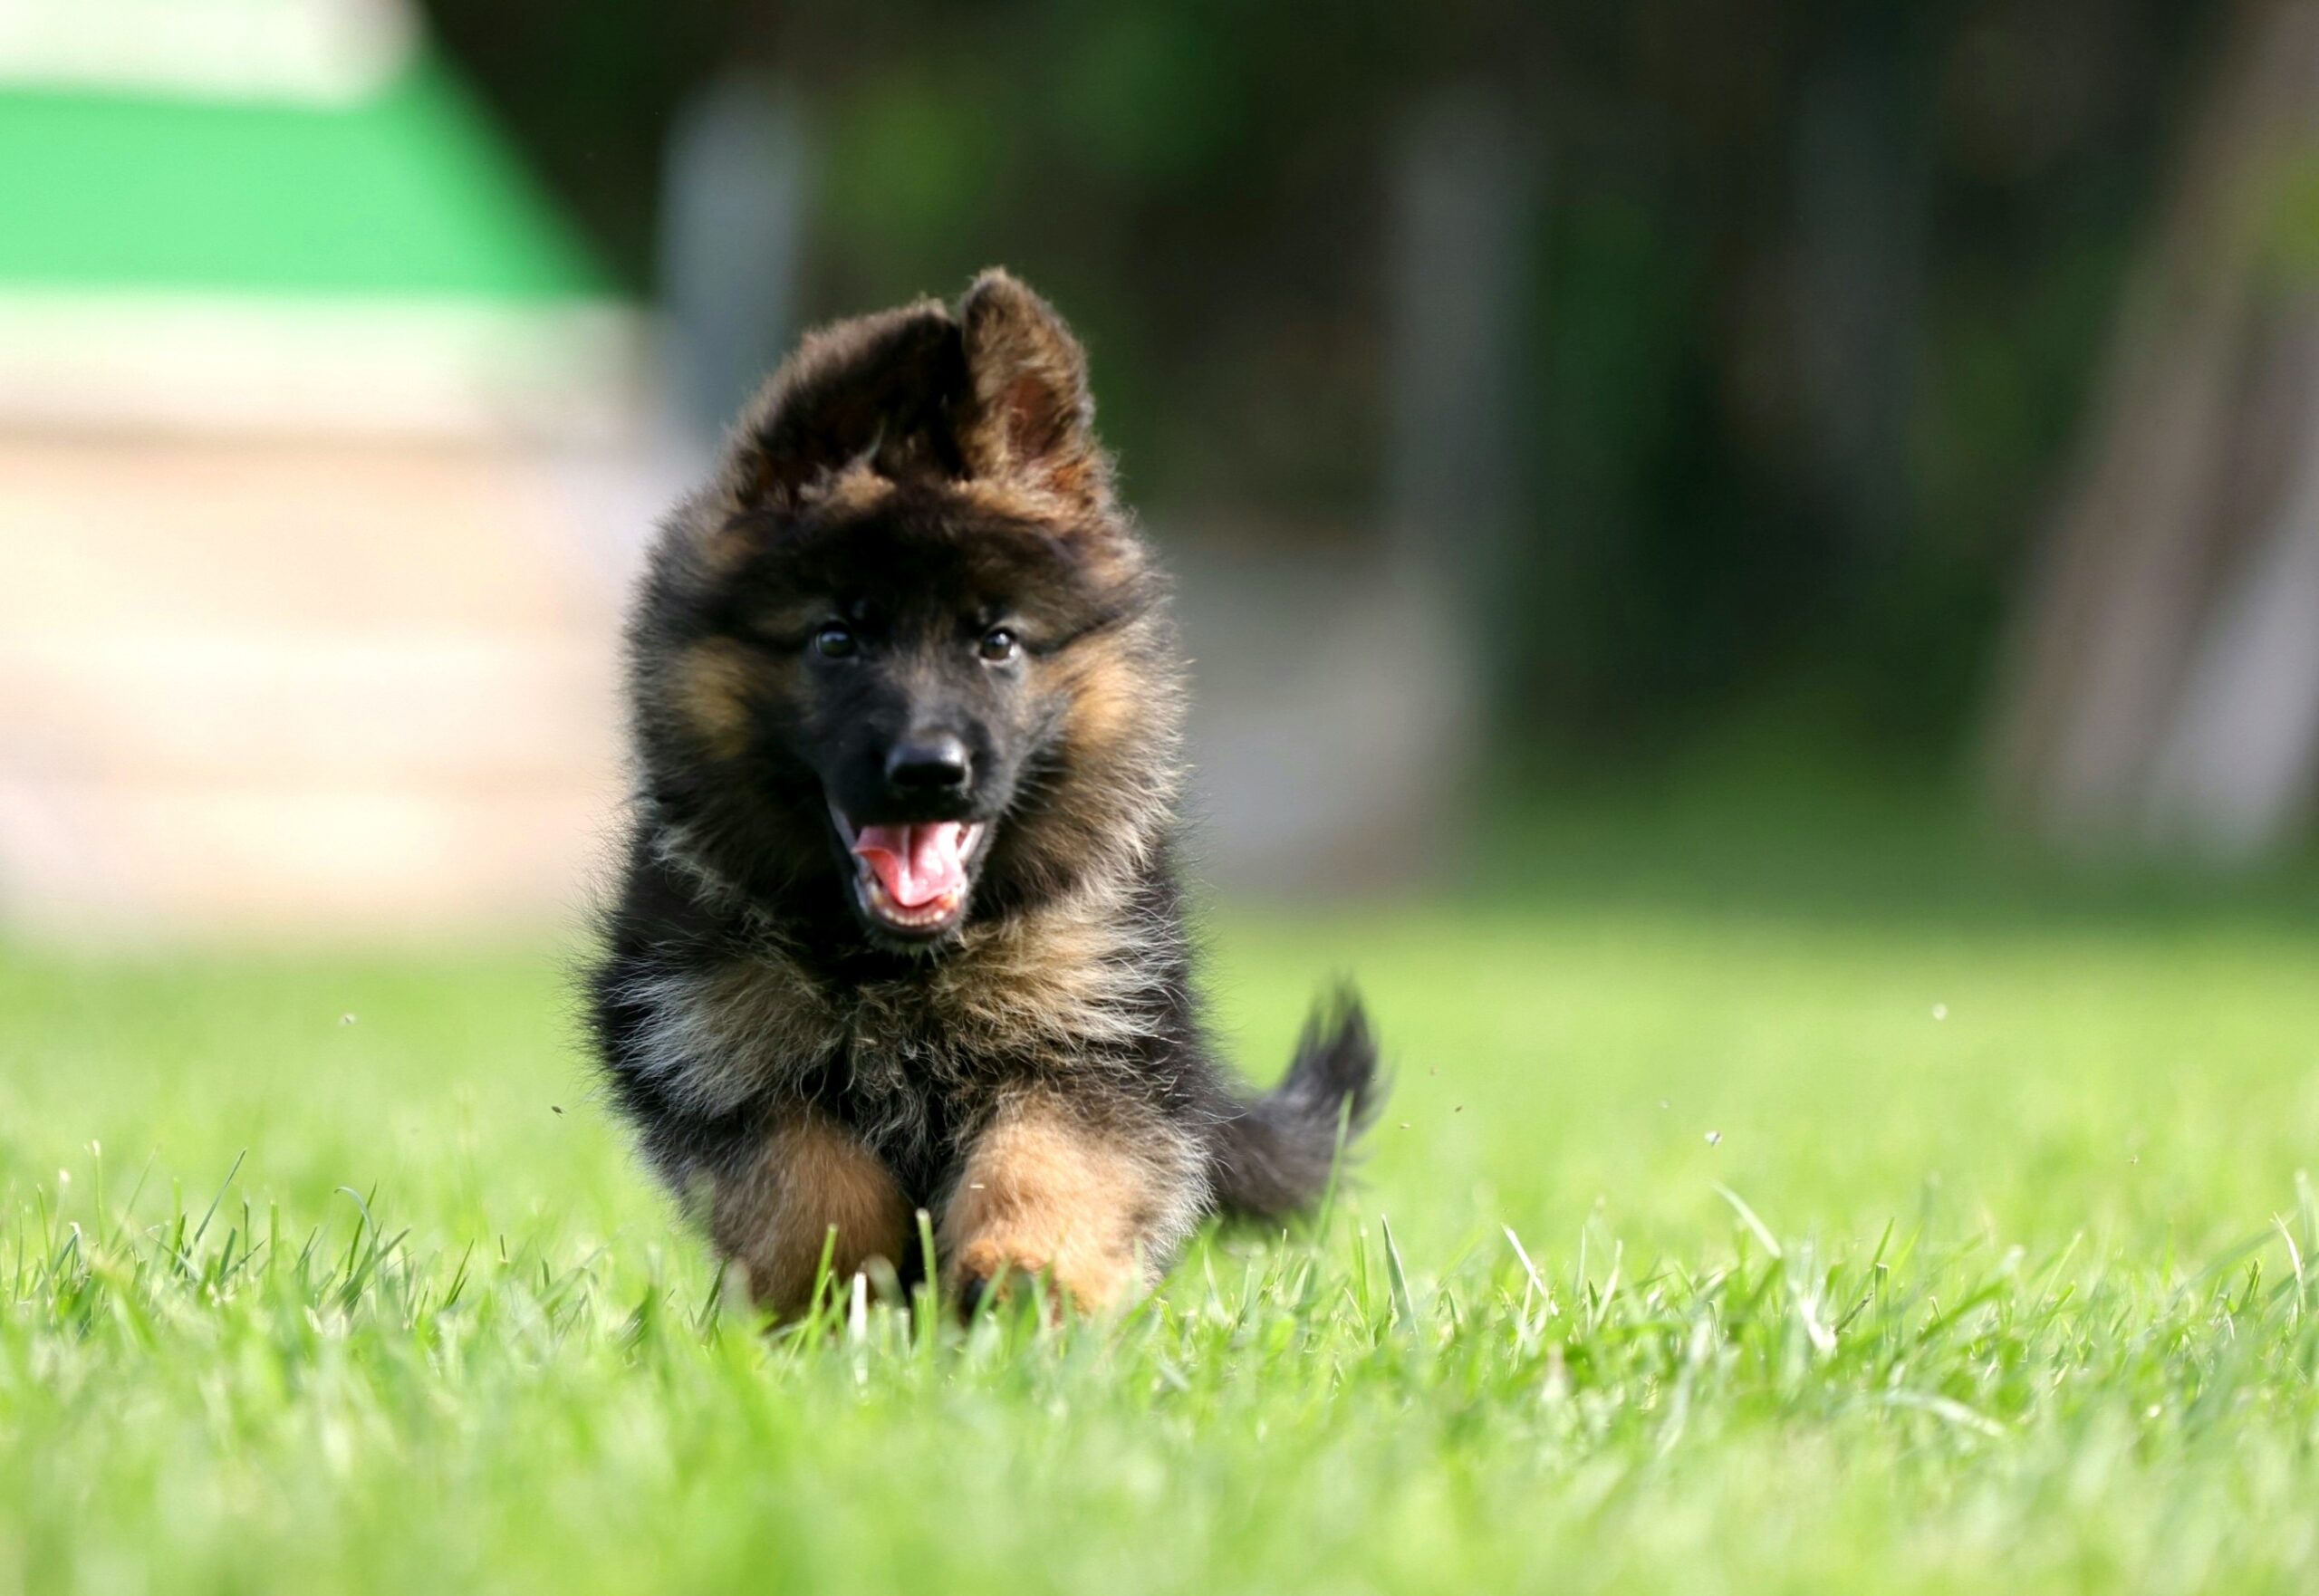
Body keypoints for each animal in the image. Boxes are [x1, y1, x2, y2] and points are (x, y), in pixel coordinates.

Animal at [589, 271, 1372, 1308]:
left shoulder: (1100, 1051)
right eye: (837, 638)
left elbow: (1045, 1163)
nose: (930, 771)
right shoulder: (707, 1051)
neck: (893, 970)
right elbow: (808, 1185)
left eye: (997, 640)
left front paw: (1025, 1278)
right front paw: (844, 1290)